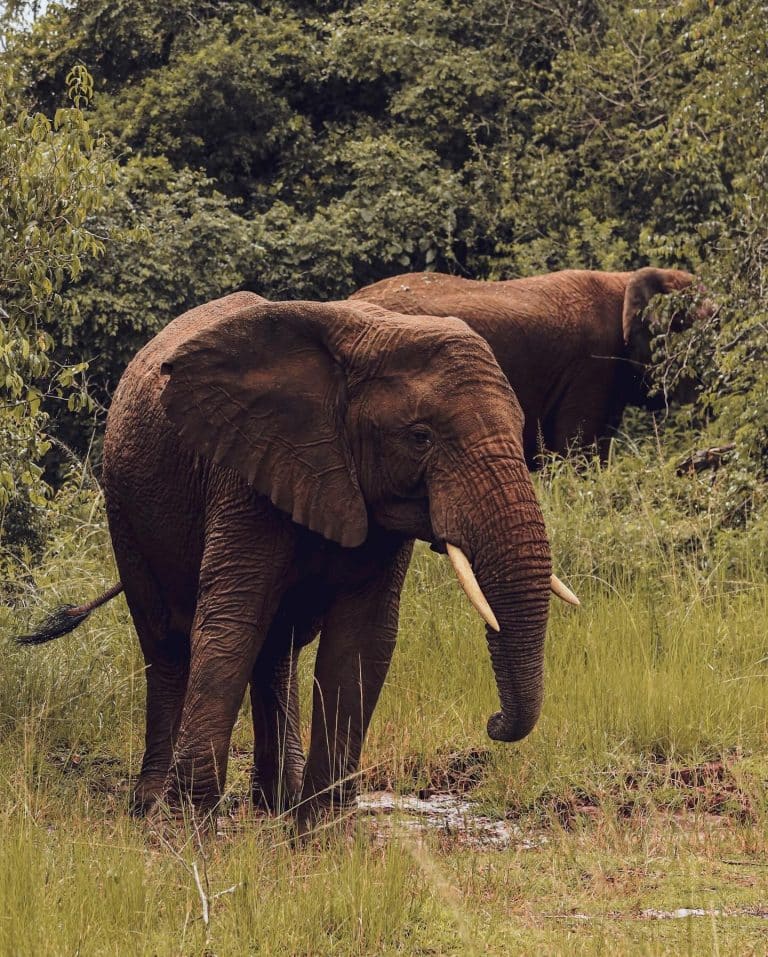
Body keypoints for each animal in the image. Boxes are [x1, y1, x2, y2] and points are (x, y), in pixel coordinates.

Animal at [18, 292, 578, 833]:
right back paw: (152, 803)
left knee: (276, 649)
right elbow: (230, 623)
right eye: (420, 437)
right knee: (167, 642)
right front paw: (183, 832)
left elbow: (362, 639)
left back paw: (277, 803)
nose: (493, 722)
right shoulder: (244, 470)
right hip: (127, 510)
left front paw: (323, 833)